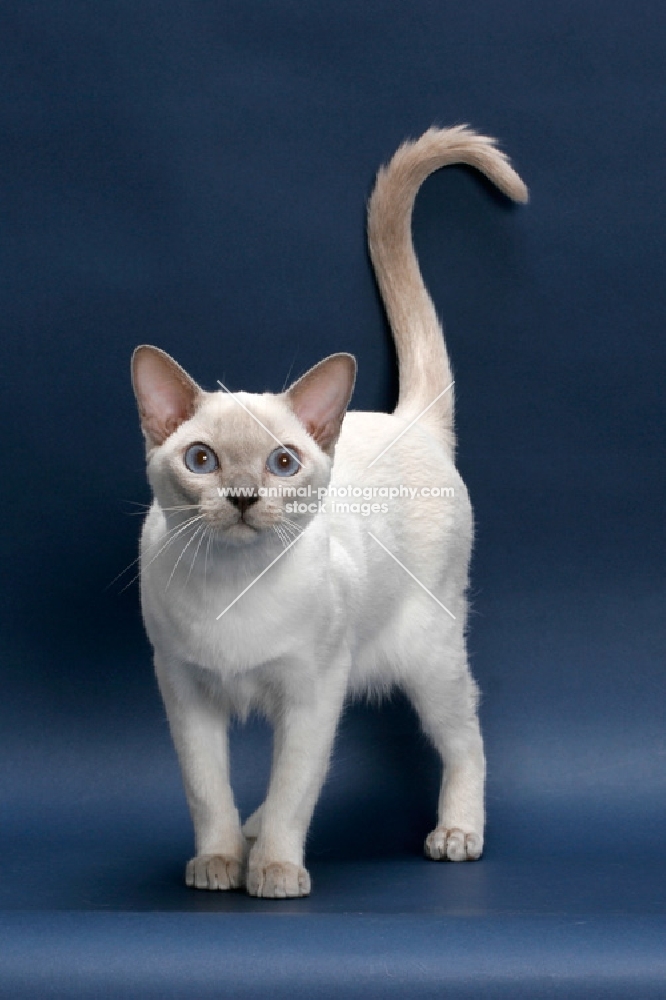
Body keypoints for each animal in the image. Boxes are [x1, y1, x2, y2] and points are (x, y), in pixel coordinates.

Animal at [131, 125, 524, 900]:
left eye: (282, 463)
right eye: (202, 461)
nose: (244, 497)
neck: (233, 588)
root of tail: (410, 421)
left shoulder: (313, 695)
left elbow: (295, 791)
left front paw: (277, 874)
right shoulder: (185, 693)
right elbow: (208, 792)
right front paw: (219, 863)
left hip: (427, 654)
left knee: (466, 738)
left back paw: (456, 835)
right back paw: (245, 840)